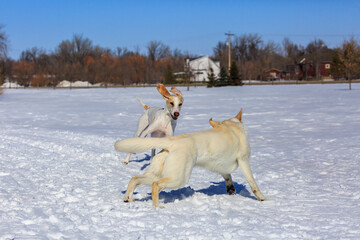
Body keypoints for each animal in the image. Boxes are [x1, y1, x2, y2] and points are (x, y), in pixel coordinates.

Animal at [115, 109, 268, 208]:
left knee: (135, 178)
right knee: (155, 185)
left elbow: (228, 177)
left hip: (158, 173)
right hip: (179, 178)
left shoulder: (222, 166)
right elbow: (253, 184)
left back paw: (127, 198)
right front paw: (262, 198)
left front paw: (231, 190)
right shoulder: (243, 160)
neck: (231, 126)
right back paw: (157, 207)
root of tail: (171, 142)